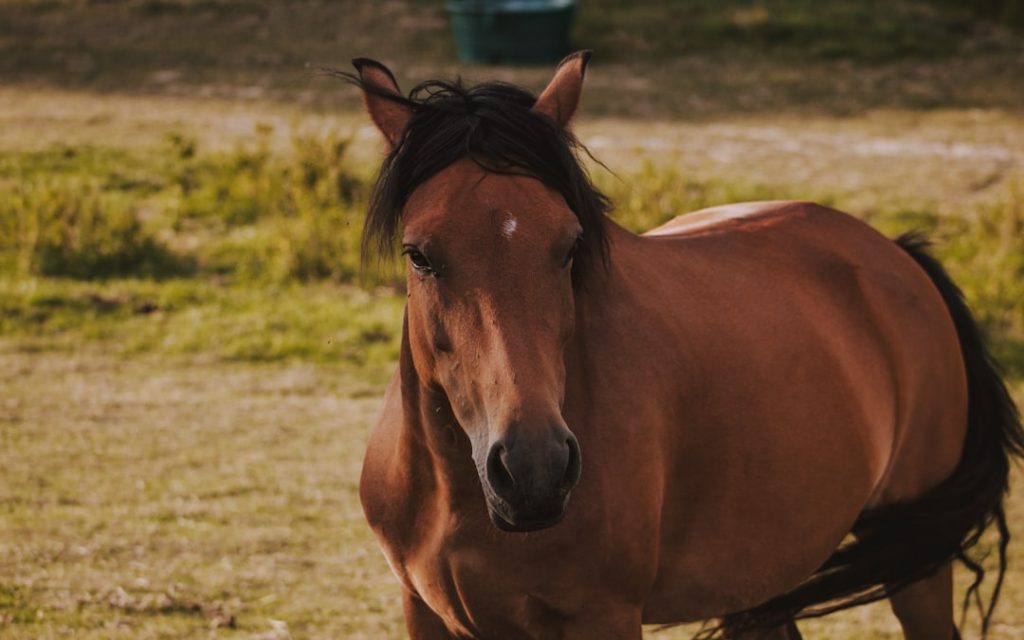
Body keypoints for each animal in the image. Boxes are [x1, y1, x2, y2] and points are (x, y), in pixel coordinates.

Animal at [342, 52, 1023, 639]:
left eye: (569, 246)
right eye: (419, 255)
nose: (535, 469)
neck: (461, 502)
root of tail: (895, 254)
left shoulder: (602, 617)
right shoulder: (425, 613)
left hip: (916, 567)